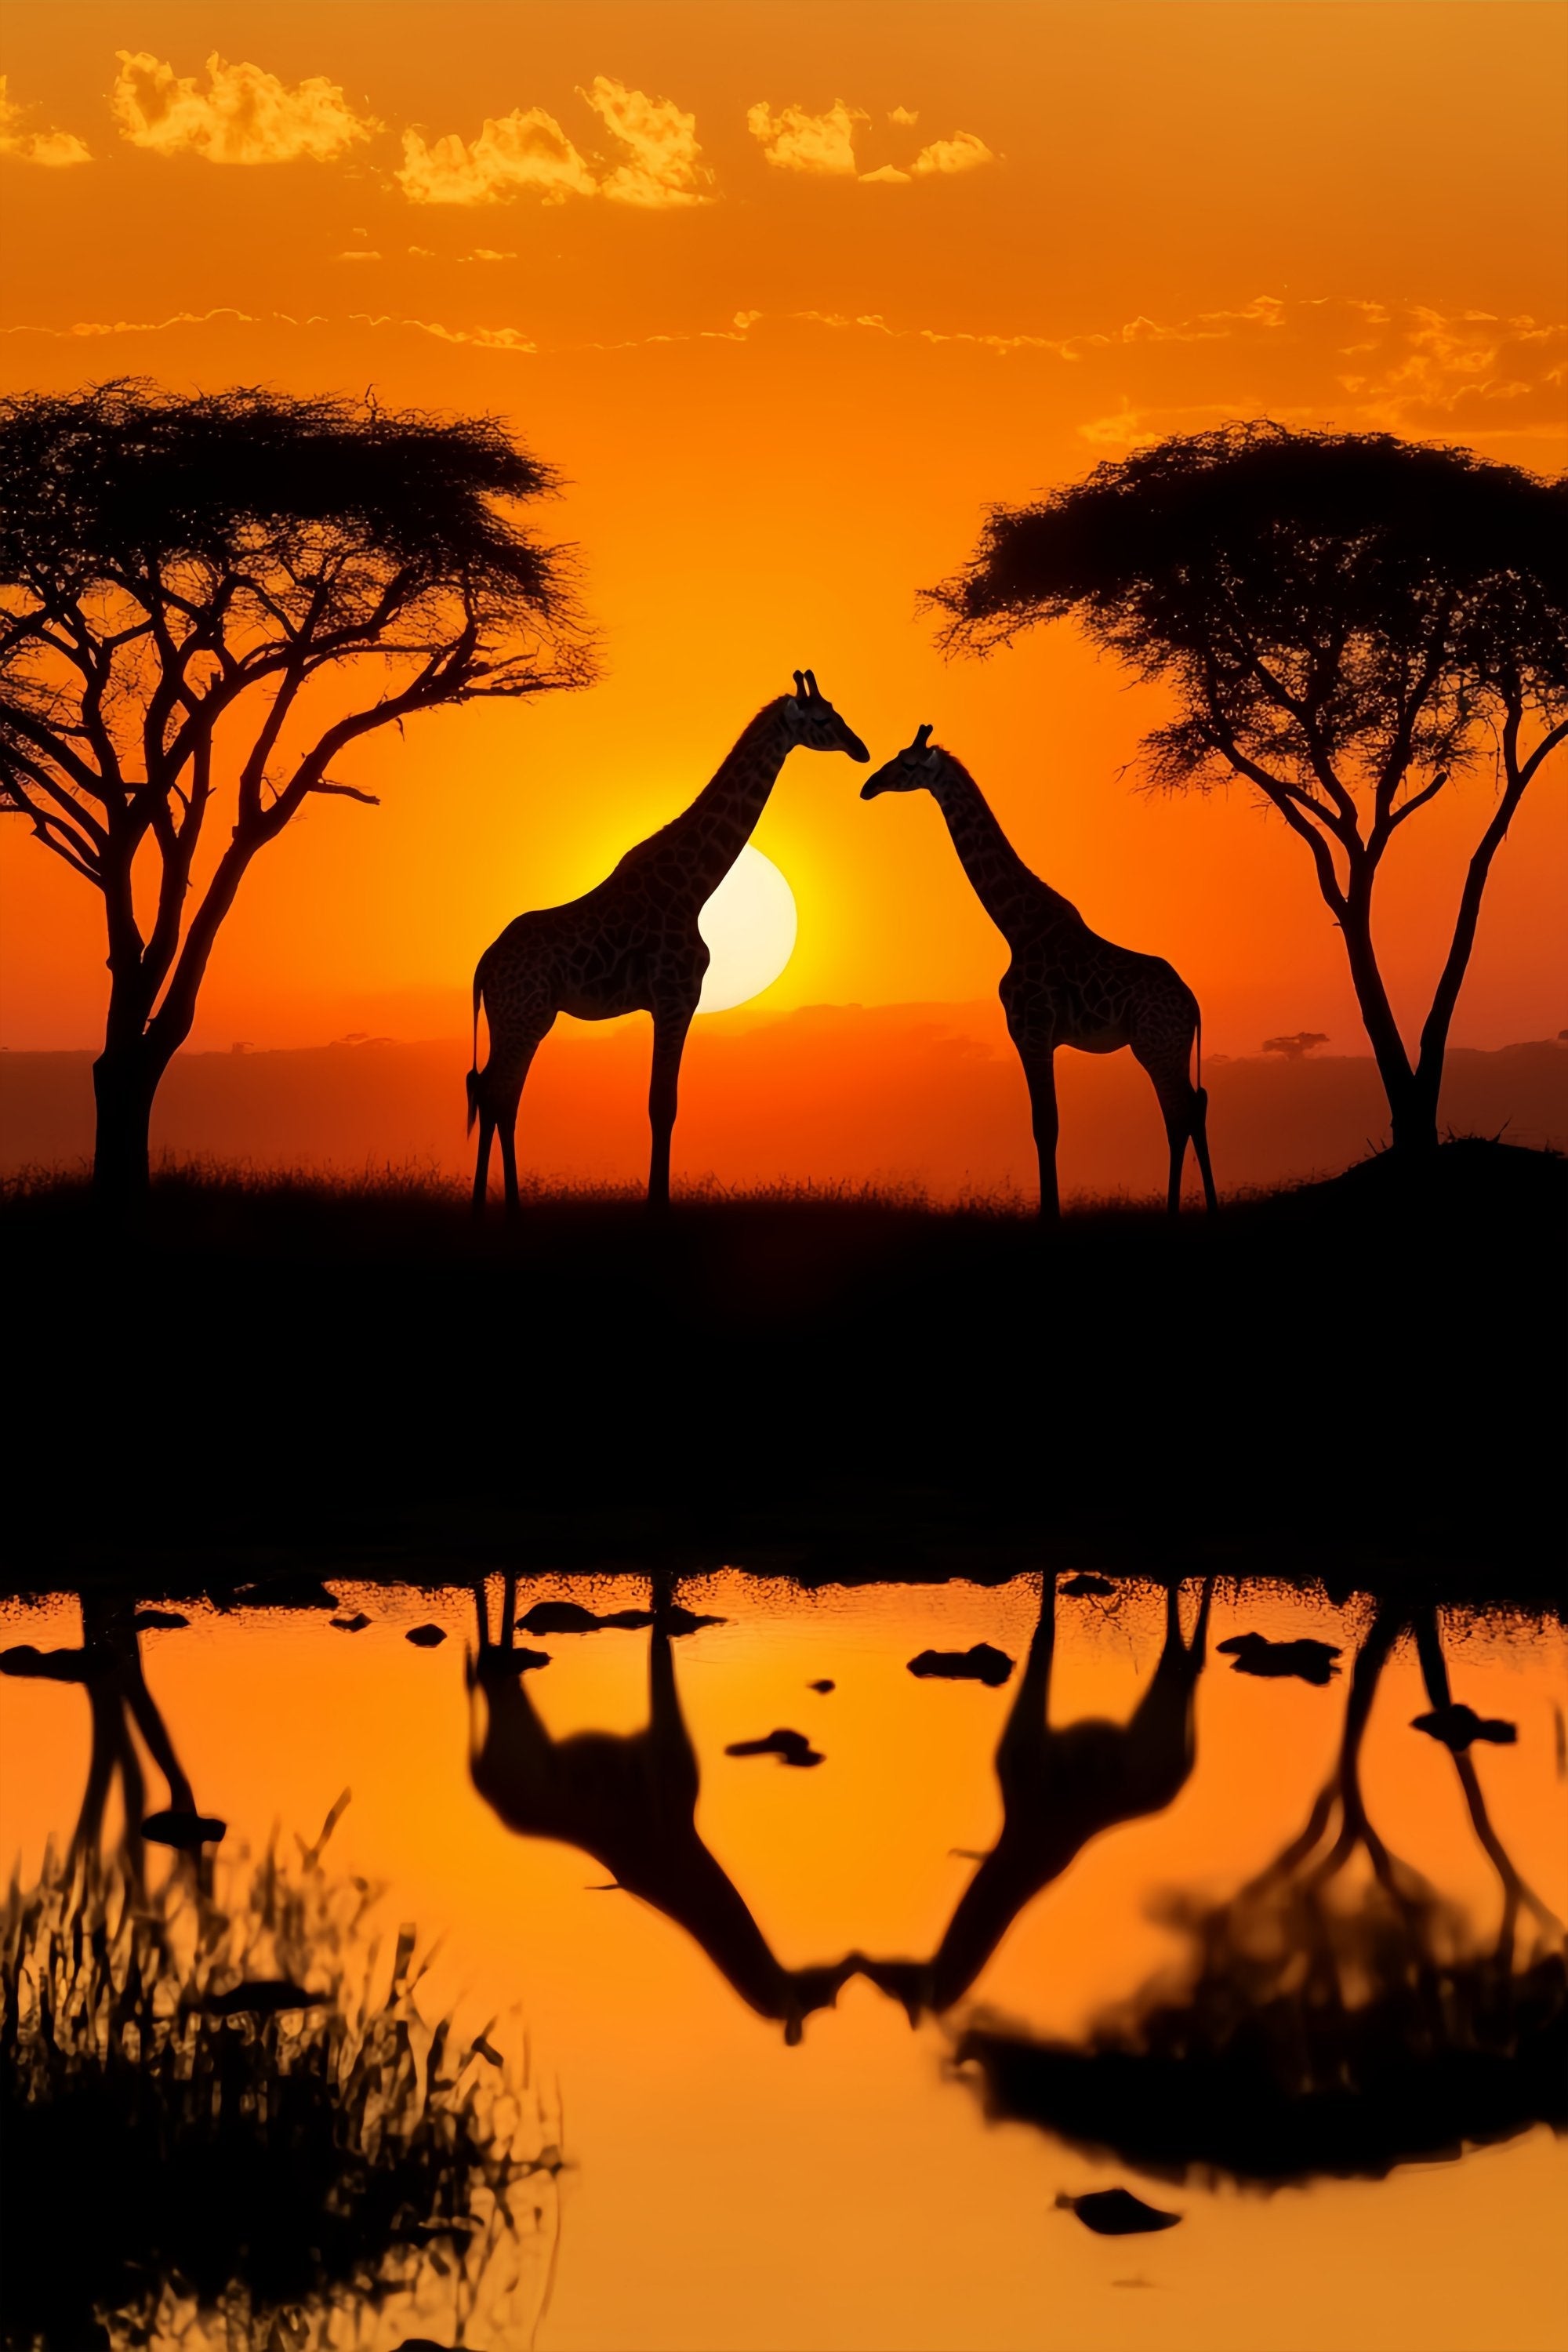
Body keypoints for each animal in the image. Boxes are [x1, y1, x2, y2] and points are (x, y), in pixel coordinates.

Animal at [467, 671, 870, 1212]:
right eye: (824, 720)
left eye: (838, 712)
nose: (862, 750)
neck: (692, 888)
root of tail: (484, 965)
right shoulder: (677, 997)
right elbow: (663, 1105)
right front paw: (657, 1206)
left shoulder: (671, 1001)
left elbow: (663, 1104)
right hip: (525, 1016)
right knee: (497, 1093)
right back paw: (496, 1206)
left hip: (515, 1016)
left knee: (495, 1093)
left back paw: (496, 1207)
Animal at [467, 1573, 860, 2042]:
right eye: (821, 1997)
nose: (848, 1967)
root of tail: (485, 1785)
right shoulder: (665, 1744)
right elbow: (660, 1624)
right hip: (518, 1728)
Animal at [861, 1570, 1213, 2022]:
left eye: (898, 1988)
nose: (870, 1966)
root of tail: (1178, 1781)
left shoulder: (1025, 1741)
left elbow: (1043, 1631)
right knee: (1186, 1661)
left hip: (1157, 1724)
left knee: (1180, 1661)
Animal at [862, 728, 1218, 1217]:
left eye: (909, 764)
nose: (869, 786)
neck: (1015, 925)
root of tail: (1194, 1004)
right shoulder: (1037, 1036)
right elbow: (1045, 1125)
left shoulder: (1031, 1031)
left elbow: (1045, 1125)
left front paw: (1050, 1215)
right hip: (1171, 1047)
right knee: (1194, 1108)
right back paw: (1206, 1208)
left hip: (1155, 1046)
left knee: (1179, 1113)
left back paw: (1175, 1210)